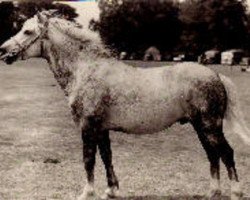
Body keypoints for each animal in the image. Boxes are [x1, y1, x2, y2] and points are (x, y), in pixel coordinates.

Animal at [0, 10, 250, 200]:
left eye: (28, 31)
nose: (3, 51)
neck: (85, 70)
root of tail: (216, 75)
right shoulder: (101, 129)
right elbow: (106, 157)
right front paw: (111, 191)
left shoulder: (88, 126)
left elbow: (89, 159)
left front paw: (87, 193)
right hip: (200, 127)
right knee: (213, 155)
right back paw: (213, 192)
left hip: (210, 126)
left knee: (226, 153)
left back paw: (236, 192)